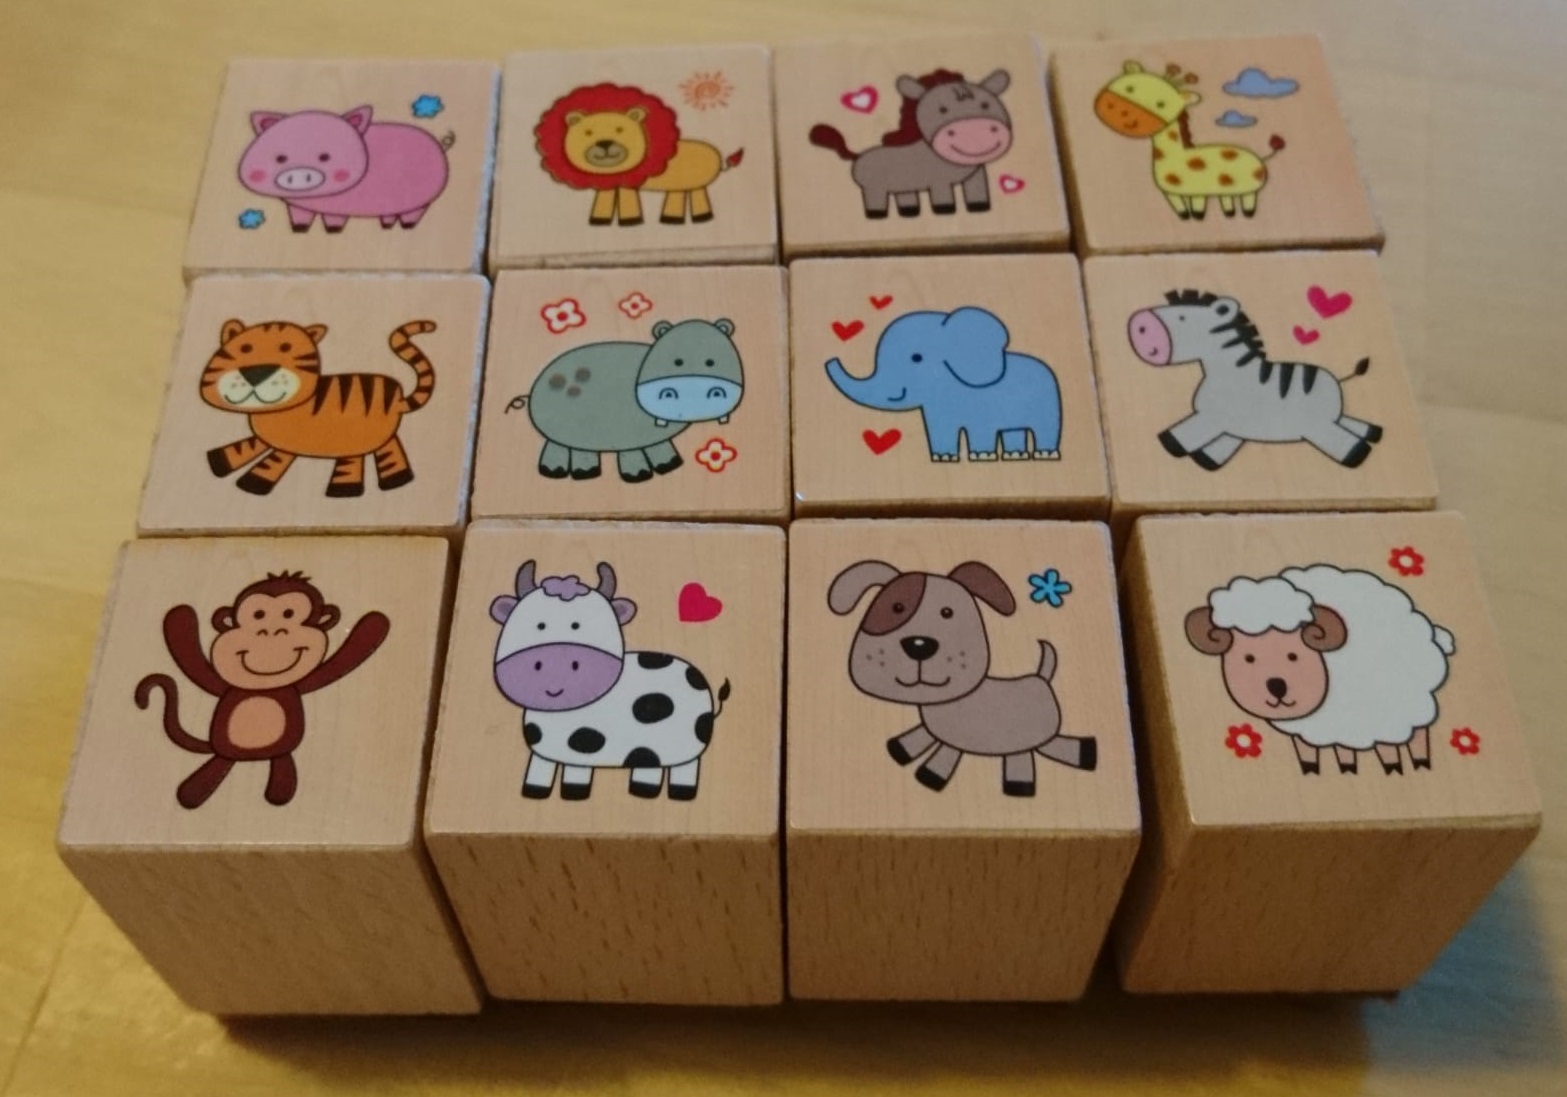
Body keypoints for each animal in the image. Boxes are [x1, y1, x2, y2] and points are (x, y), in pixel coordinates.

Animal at [828, 560, 1097, 796]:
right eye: (896, 607)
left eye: (947, 612)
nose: (919, 644)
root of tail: (1041, 677)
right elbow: (922, 736)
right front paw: (901, 749)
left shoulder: (954, 739)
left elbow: (943, 756)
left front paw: (929, 774)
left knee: (1029, 754)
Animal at [1126, 290, 1382, 471]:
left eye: (1182, 317)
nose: (1141, 324)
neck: (1229, 372)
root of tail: (1337, 380)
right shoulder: (1226, 426)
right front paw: (1205, 460)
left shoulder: (1212, 418)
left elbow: (1181, 437)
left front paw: (1171, 445)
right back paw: (1373, 431)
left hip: (1317, 426)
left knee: (1350, 444)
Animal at [1185, 565, 1455, 775]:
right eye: (1248, 658)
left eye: (1293, 655)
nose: (1277, 686)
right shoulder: (1310, 729)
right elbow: (1311, 751)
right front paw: (1316, 768)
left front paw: (1376, 767)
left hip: (1409, 711)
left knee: (1413, 737)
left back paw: (1415, 764)